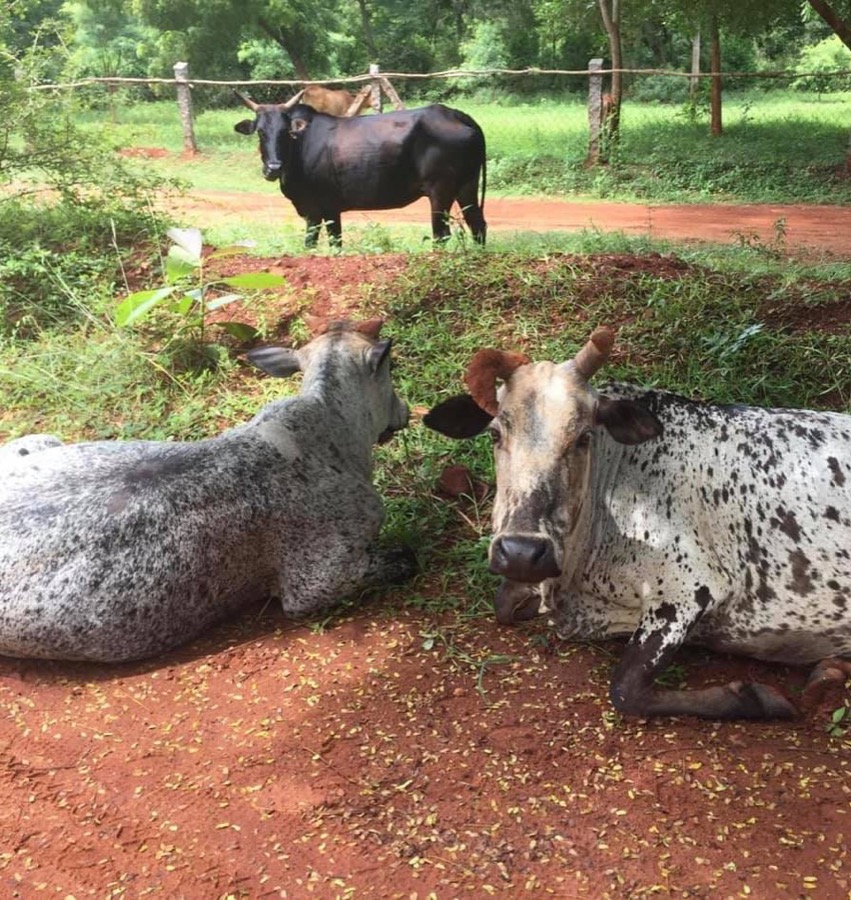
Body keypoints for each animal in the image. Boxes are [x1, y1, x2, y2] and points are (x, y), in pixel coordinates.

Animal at [0, 320, 416, 662]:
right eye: (391, 370)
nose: (406, 412)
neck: (329, 429)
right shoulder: (316, 580)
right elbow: (406, 558)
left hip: (38, 440)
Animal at [233, 93, 487, 248]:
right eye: (260, 131)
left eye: (285, 131)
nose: (273, 168)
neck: (300, 146)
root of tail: (456, 114)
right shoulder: (325, 210)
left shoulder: (319, 208)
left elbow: (320, 243)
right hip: (467, 186)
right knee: (477, 225)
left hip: (440, 191)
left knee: (441, 234)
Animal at [424, 326, 851, 720]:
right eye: (495, 433)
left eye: (584, 437)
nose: (522, 552)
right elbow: (505, 602)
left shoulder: (688, 590)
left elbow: (626, 690)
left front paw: (757, 699)